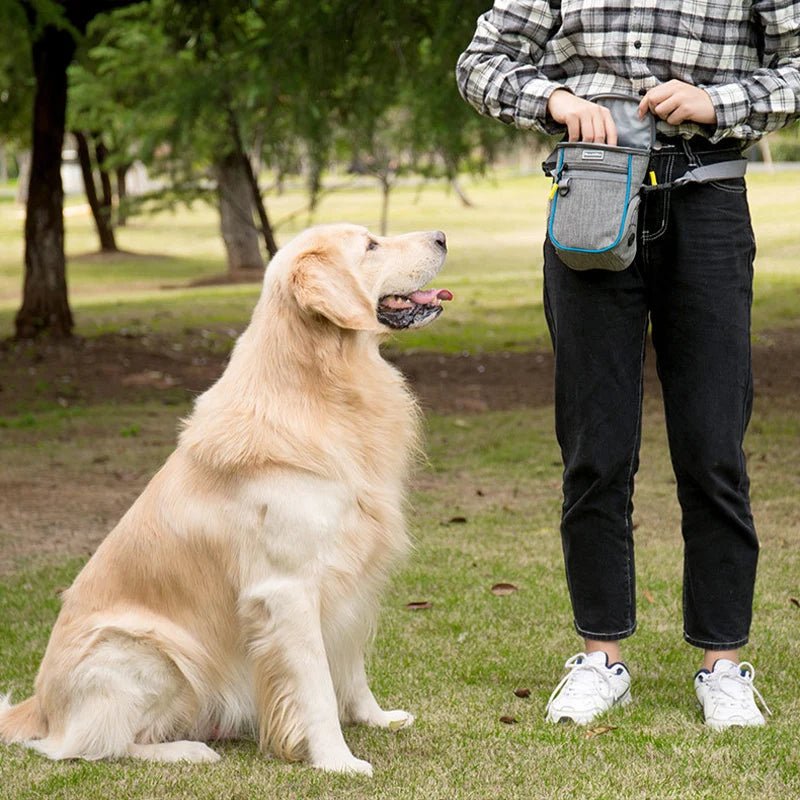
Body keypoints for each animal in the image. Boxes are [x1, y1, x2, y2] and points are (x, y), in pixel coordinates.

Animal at [0, 222, 450, 772]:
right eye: (370, 246)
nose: (443, 236)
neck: (322, 388)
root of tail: (40, 707)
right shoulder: (289, 589)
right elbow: (318, 689)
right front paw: (336, 761)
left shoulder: (349, 581)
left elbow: (351, 667)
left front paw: (377, 718)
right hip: (146, 652)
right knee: (88, 746)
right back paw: (187, 750)